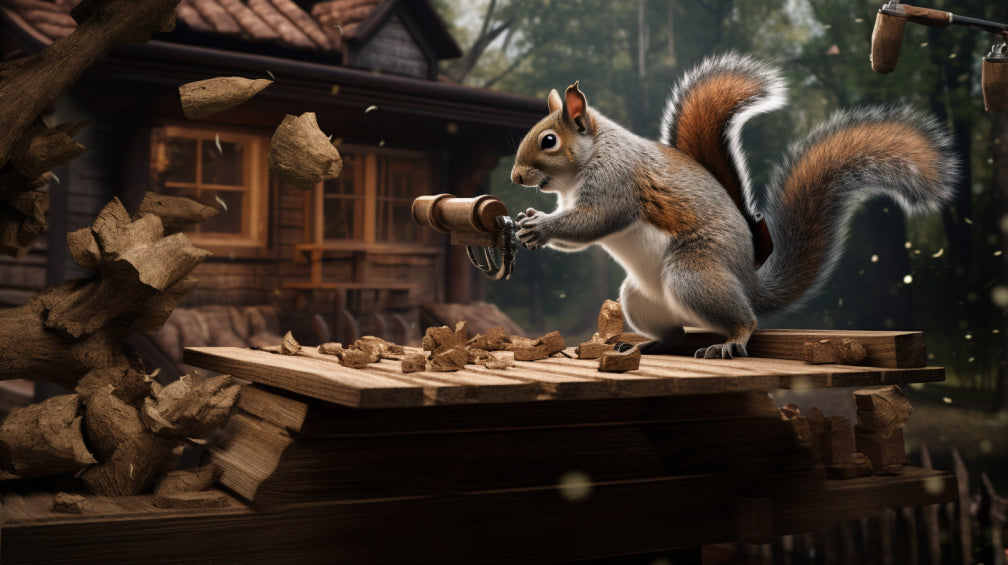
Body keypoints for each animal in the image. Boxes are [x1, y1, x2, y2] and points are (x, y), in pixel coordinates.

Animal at [510, 52, 959, 359]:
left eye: (549, 140)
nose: (515, 178)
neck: (588, 160)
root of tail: (746, 280)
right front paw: (529, 220)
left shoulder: (615, 183)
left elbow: (592, 222)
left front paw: (541, 226)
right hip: (638, 297)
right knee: (674, 334)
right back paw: (645, 346)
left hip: (693, 273)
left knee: (745, 320)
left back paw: (730, 342)